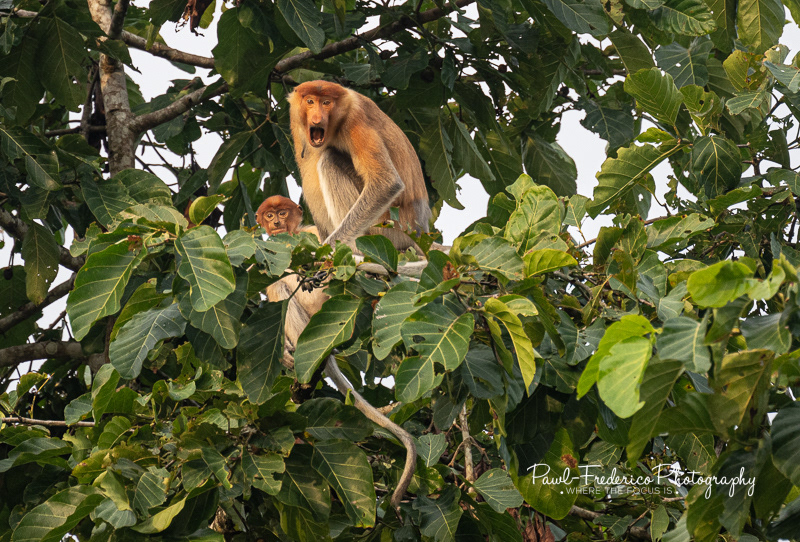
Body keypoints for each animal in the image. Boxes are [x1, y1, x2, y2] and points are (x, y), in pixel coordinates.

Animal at [289, 80, 432, 251]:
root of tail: (420, 232)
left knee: (329, 159)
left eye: (326, 103)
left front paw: (328, 246)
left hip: (389, 226)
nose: (317, 118)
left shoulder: (355, 121)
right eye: (310, 101)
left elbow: (387, 183)